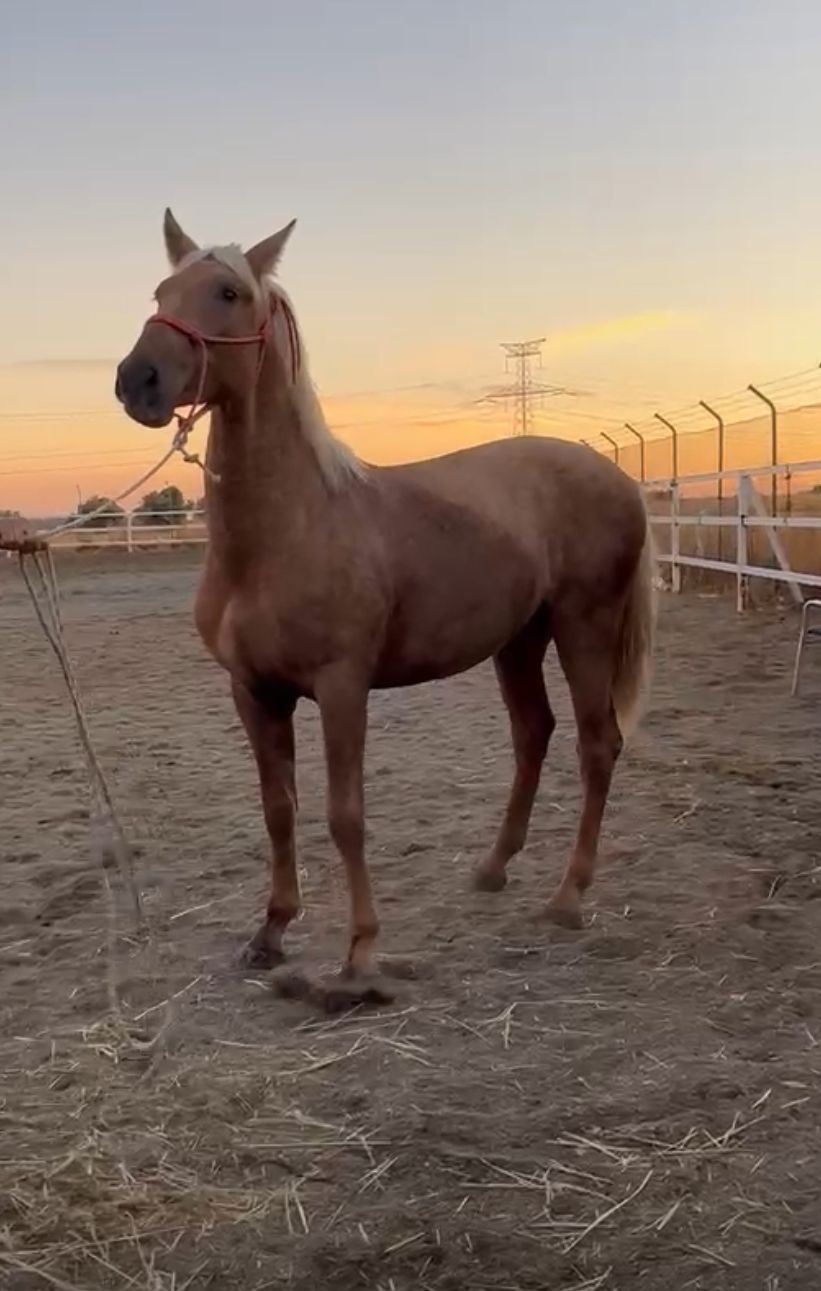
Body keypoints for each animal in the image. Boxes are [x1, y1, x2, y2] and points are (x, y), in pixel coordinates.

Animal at [115, 210, 655, 1006]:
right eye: (160, 291)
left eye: (228, 292)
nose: (137, 381)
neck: (285, 531)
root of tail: (616, 476)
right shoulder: (253, 692)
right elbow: (279, 810)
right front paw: (270, 933)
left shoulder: (343, 688)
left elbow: (346, 816)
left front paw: (360, 953)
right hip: (518, 640)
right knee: (534, 734)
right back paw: (492, 869)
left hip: (583, 626)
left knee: (596, 745)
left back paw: (566, 898)